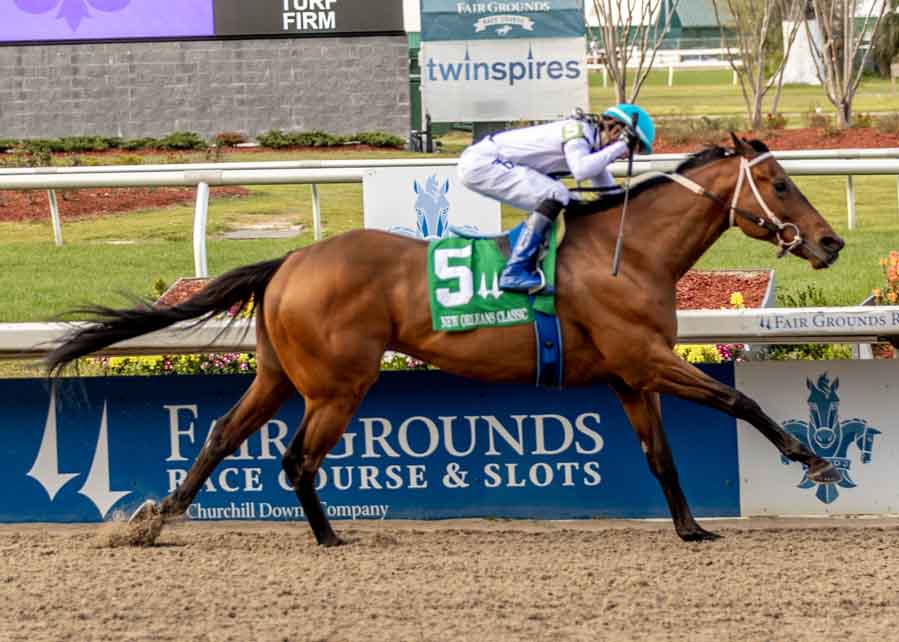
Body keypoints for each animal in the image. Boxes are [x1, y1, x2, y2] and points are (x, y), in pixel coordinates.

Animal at [46, 135, 845, 546]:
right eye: (778, 183)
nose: (831, 243)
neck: (633, 254)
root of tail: (291, 261)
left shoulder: (629, 376)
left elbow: (661, 456)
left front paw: (690, 529)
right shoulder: (646, 358)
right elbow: (739, 405)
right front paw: (814, 460)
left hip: (277, 374)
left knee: (220, 434)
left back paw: (156, 519)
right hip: (337, 384)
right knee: (297, 457)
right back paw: (328, 537)